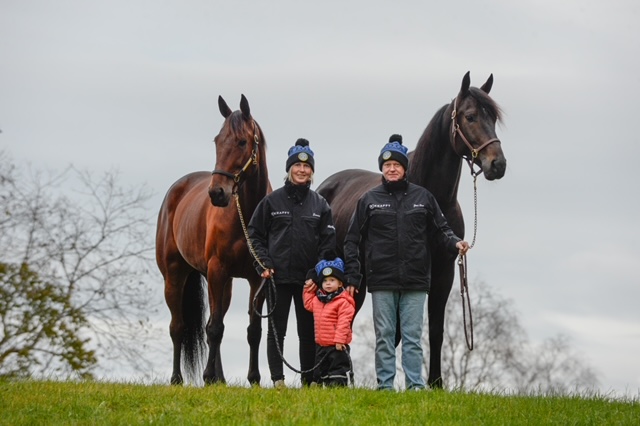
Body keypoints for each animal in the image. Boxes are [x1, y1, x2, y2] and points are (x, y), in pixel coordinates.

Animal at [159, 94, 272, 386]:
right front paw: (207, 375)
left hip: (223, 282)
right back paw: (177, 378)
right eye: (217, 141)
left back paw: (218, 378)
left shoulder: (257, 279)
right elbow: (215, 329)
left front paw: (254, 378)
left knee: (214, 319)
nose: (217, 193)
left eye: (242, 141)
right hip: (175, 275)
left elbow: (253, 329)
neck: (246, 214)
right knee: (179, 326)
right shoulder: (217, 269)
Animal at [318, 71, 508, 388]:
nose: (498, 164)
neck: (431, 195)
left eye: (493, 118)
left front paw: (434, 383)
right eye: (470, 116)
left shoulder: (443, 273)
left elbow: (433, 329)